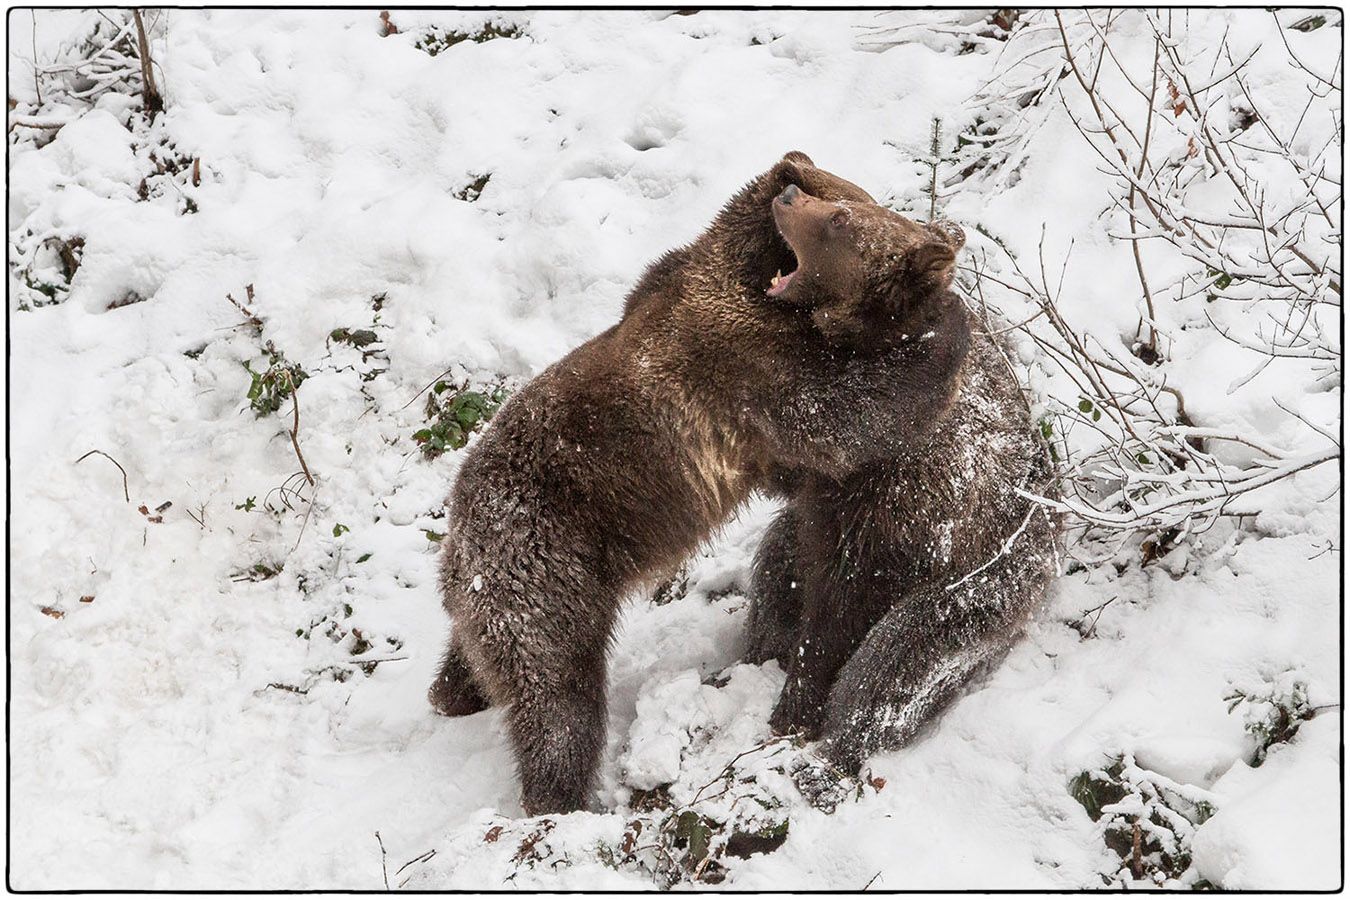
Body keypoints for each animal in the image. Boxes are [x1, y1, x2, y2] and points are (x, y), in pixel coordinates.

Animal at [426, 151, 977, 814]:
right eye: (846, 213)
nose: (793, 193)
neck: (762, 289)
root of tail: (461, 537)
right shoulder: (745, 364)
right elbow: (839, 418)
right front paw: (946, 323)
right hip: (544, 560)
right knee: (558, 700)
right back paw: (563, 800)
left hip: (500, 589)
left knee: (482, 658)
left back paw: (453, 692)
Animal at [745, 184, 1058, 777]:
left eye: (842, 219)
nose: (789, 192)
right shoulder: (830, 484)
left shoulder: (901, 508)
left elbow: (844, 611)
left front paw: (798, 708)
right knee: (776, 561)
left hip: (979, 591)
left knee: (899, 658)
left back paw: (838, 749)